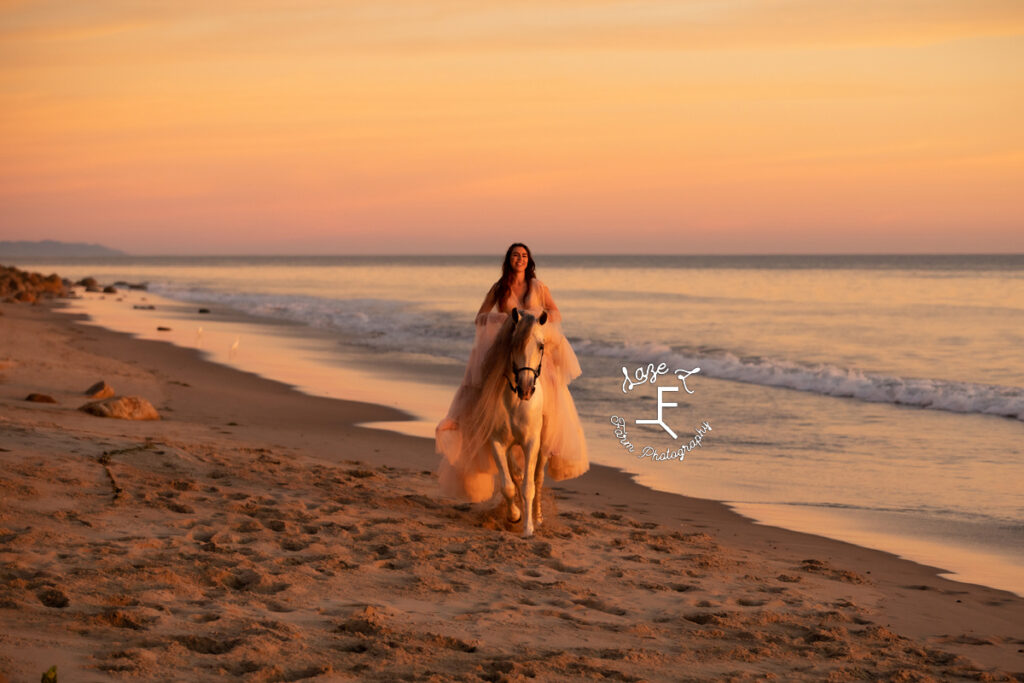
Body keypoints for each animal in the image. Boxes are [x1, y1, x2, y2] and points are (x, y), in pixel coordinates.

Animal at [489, 309, 548, 540]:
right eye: (514, 344)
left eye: (541, 345)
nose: (525, 389)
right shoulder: (497, 442)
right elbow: (508, 485)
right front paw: (514, 516)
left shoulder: (531, 443)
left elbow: (528, 487)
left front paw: (528, 528)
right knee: (515, 474)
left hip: (544, 446)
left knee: (538, 478)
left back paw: (538, 518)